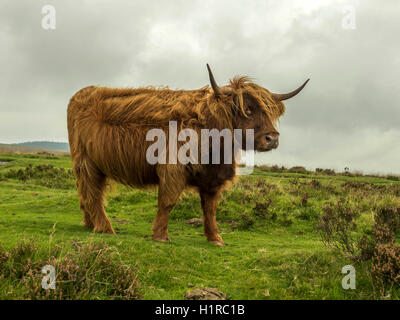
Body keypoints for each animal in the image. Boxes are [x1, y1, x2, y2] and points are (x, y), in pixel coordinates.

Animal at [67, 64, 308, 245]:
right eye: (247, 109)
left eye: (269, 112)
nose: (272, 138)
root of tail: (81, 93)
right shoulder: (173, 169)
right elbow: (168, 201)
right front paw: (160, 235)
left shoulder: (213, 177)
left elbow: (210, 208)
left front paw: (215, 238)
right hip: (86, 162)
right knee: (92, 193)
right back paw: (105, 228)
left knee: (88, 192)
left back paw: (89, 223)